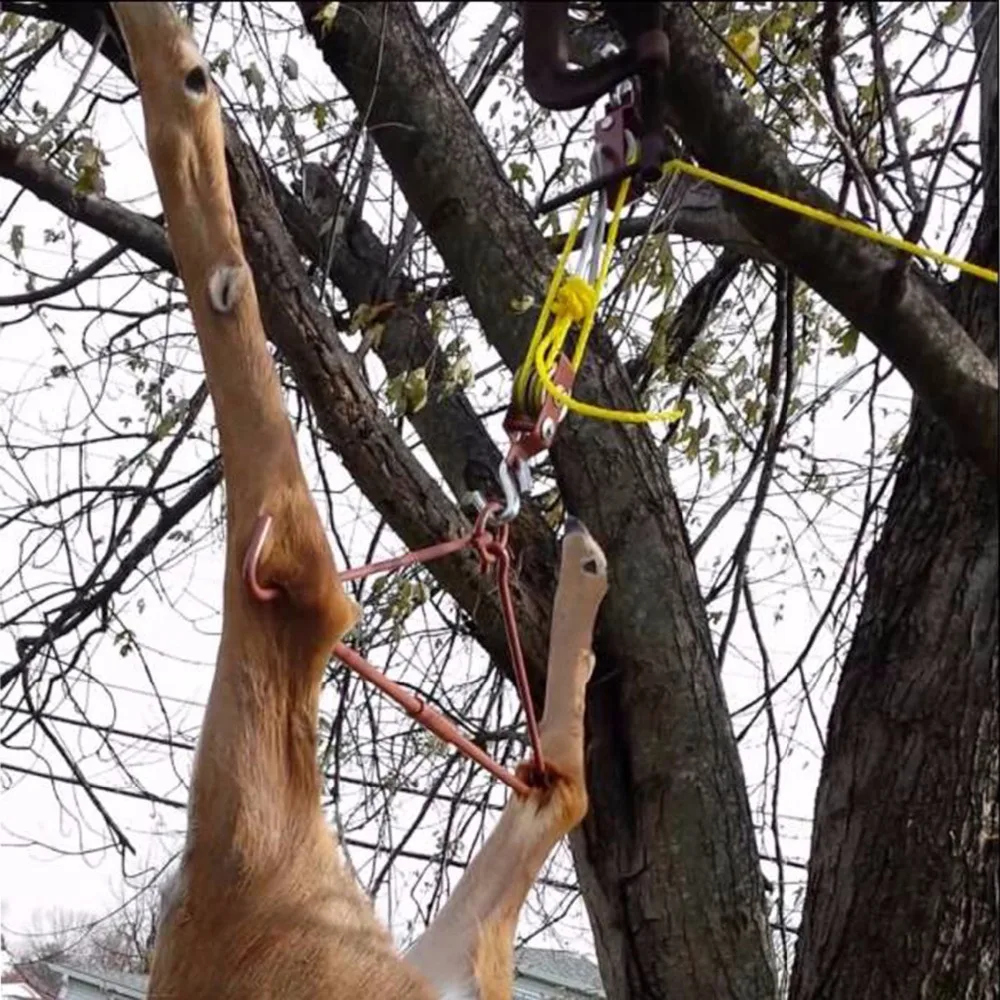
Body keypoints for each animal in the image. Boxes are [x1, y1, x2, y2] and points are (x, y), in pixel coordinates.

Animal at [111, 3, 608, 996]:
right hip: (408, 927)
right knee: (557, 788)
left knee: (290, 551)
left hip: (246, 809)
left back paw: (172, 64)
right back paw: (585, 570)